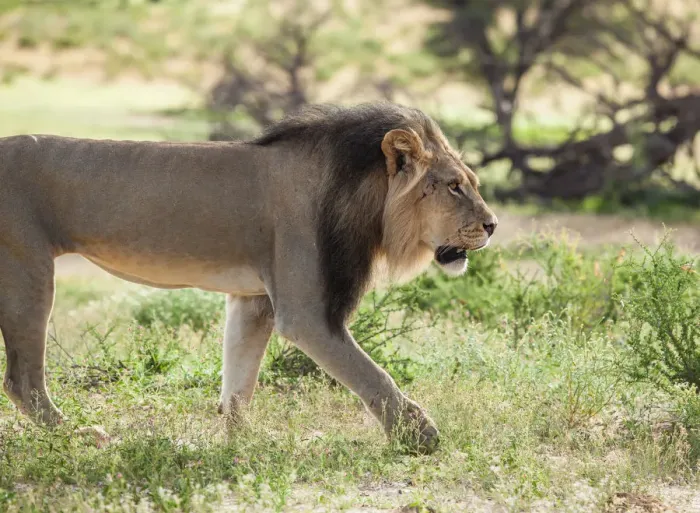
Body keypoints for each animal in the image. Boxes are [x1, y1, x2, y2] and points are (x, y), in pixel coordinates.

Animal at [0, 102, 497, 453]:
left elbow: (238, 383)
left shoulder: (254, 301)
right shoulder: (305, 315)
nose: (492, 225)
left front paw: (243, 442)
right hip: (28, 271)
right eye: (454, 186)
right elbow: (371, 375)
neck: (362, 196)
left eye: (471, 182)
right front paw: (421, 435)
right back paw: (76, 436)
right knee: (23, 380)